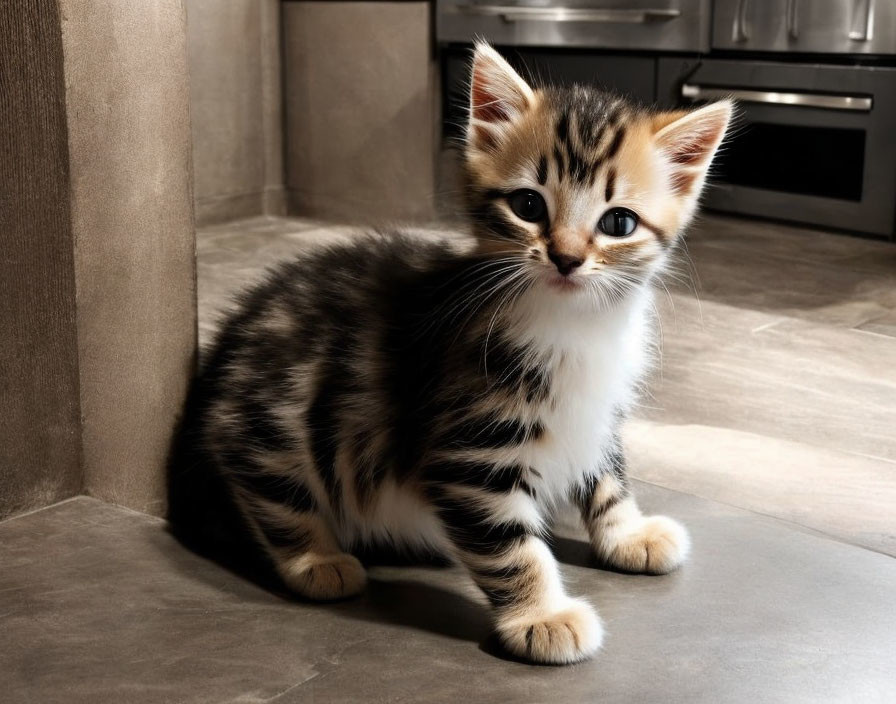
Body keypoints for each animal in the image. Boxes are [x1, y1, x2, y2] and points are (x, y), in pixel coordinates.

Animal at [172, 44, 732, 664]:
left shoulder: (596, 410)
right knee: (263, 478)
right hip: (280, 412)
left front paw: (626, 533)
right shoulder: (469, 451)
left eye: (618, 222)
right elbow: (510, 545)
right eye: (528, 205)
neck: (578, 323)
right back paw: (316, 559)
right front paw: (542, 615)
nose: (565, 258)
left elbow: (607, 475)